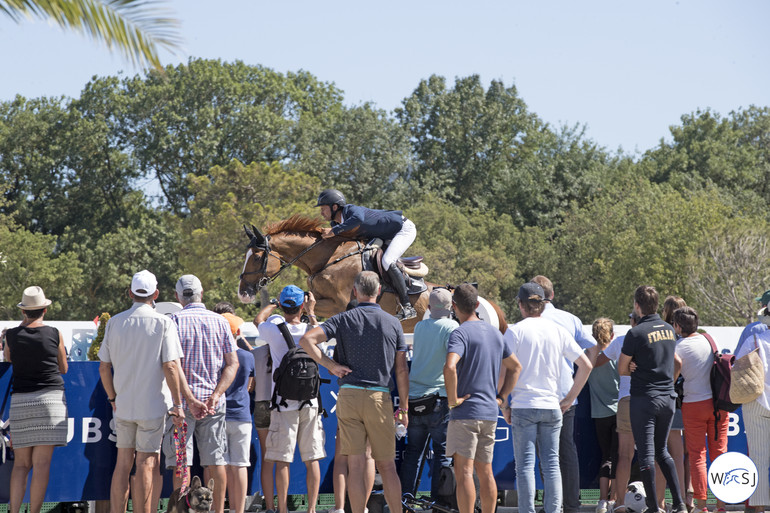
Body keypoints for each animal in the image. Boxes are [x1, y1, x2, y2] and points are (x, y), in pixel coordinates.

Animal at [237, 214, 508, 334]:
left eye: (258, 257)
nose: (243, 294)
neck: (327, 259)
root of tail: (486, 302)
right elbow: (305, 303)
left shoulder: (339, 303)